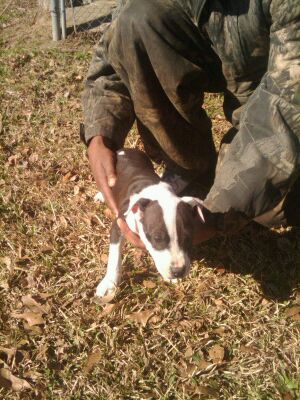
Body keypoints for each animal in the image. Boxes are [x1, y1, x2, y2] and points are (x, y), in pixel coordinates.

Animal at [96, 148, 204, 296]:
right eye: (157, 238)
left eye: (188, 237)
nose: (178, 271)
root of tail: (125, 150)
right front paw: (109, 283)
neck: (159, 195)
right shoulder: (118, 226)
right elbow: (114, 257)